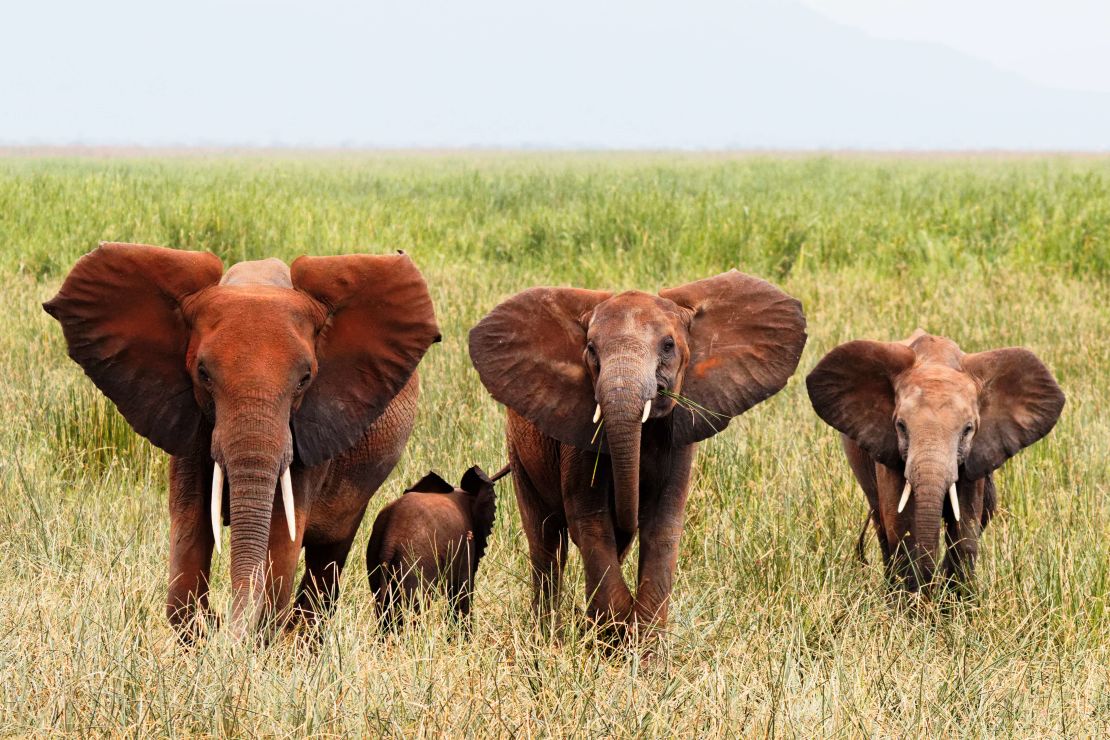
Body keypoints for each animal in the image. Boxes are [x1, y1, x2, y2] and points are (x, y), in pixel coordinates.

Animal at [43, 244, 441, 643]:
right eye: (202, 374)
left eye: (305, 379)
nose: (221, 621)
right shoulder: (190, 421)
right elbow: (190, 523)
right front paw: (203, 630)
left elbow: (282, 537)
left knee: (327, 555)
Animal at [364, 465, 508, 630]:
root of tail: (389, 540)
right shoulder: (466, 545)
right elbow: (461, 592)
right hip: (415, 562)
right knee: (417, 606)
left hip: (374, 556)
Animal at [468, 271, 808, 639]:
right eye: (591, 349)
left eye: (668, 345)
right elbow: (591, 521)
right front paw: (613, 638)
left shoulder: (679, 437)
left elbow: (662, 526)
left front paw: (641, 647)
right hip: (519, 449)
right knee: (546, 540)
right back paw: (549, 634)